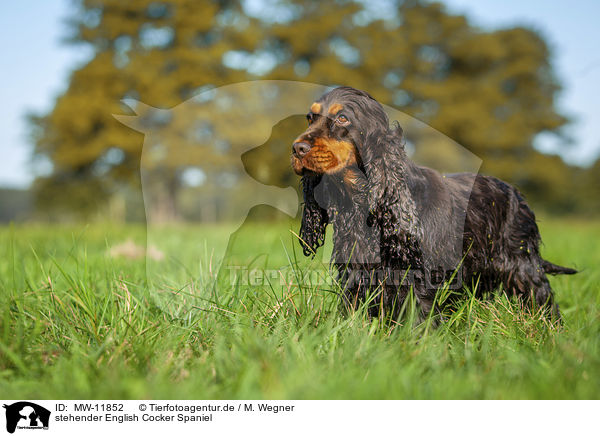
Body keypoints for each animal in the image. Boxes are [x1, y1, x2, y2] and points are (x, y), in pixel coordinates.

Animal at [290, 86, 576, 320]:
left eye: (342, 118)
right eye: (310, 117)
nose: (297, 148)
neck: (361, 202)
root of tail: (517, 194)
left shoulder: (418, 279)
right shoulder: (356, 273)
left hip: (522, 265)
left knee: (543, 302)